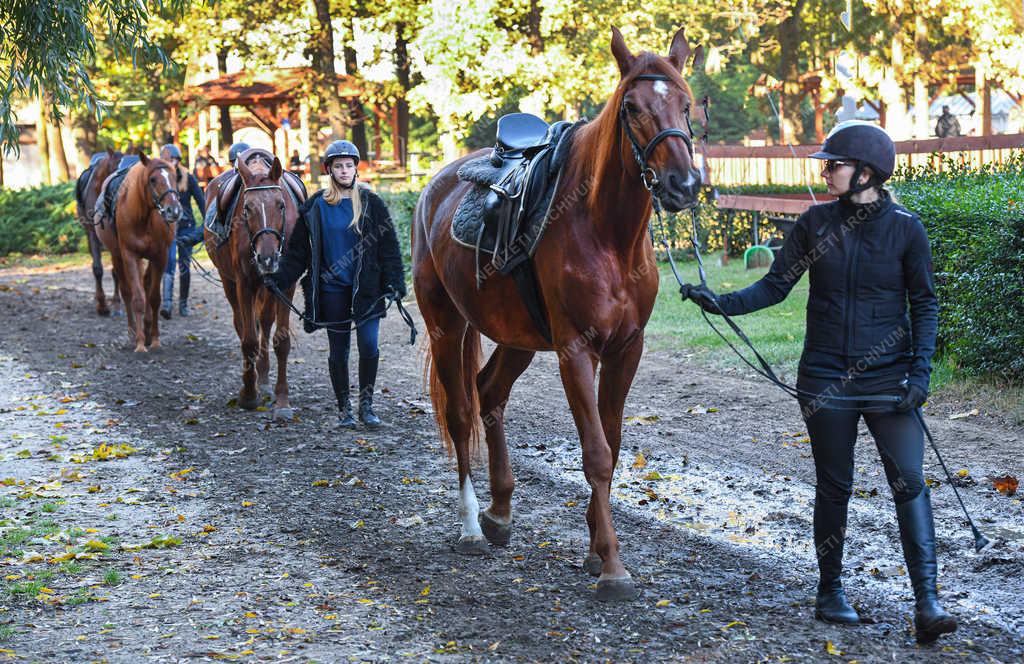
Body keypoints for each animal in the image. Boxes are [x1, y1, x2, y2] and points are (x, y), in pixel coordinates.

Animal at [75, 149, 122, 315]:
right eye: (115, 167)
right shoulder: (93, 235)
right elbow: (97, 268)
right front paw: (102, 305)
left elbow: (116, 270)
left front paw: (116, 303)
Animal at [95, 152, 183, 350]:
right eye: (152, 179)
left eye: (175, 177)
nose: (173, 210)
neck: (143, 216)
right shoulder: (129, 255)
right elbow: (137, 298)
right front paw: (140, 343)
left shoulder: (160, 256)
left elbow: (154, 298)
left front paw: (155, 339)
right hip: (117, 255)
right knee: (127, 291)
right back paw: (133, 331)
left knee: (147, 284)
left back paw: (147, 328)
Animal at [203, 149, 303, 420]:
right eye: (247, 209)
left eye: (281, 205)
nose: (267, 258)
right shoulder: (244, 283)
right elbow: (248, 340)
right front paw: (248, 394)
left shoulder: (286, 284)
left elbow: (281, 340)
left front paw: (282, 400)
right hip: (229, 280)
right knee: (242, 325)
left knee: (265, 323)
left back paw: (264, 377)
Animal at [411, 27, 708, 602]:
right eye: (632, 107)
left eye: (686, 104)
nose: (682, 185)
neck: (606, 233)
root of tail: (436, 187)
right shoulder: (576, 349)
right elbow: (595, 452)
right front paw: (612, 565)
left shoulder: (626, 349)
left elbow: (612, 445)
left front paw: (594, 549)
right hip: (446, 324)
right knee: (461, 414)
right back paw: (471, 524)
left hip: (516, 337)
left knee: (489, 394)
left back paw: (500, 512)